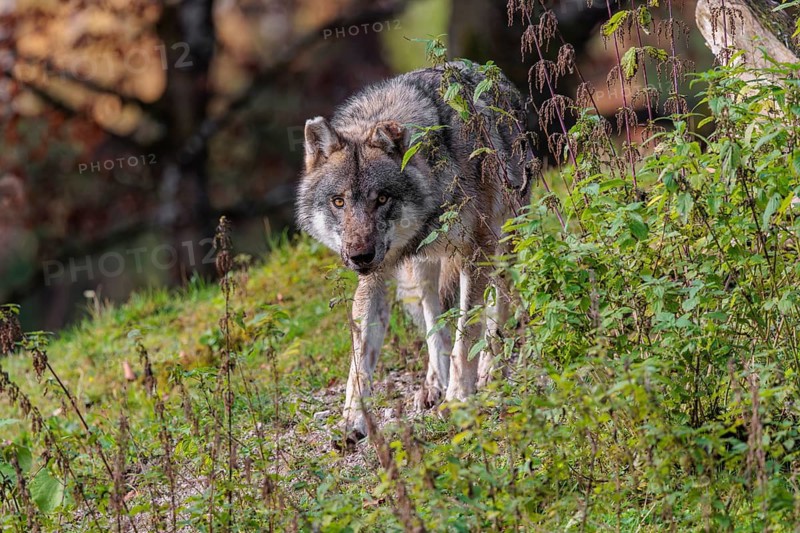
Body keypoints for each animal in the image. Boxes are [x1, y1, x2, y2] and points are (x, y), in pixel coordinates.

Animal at [296, 61, 530, 442]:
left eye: (381, 198)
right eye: (338, 201)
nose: (359, 257)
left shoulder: (476, 252)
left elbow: (467, 334)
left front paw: (459, 397)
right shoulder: (376, 275)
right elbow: (361, 359)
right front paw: (353, 419)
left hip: (504, 243)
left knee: (496, 311)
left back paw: (489, 370)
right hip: (417, 276)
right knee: (434, 322)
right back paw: (433, 385)